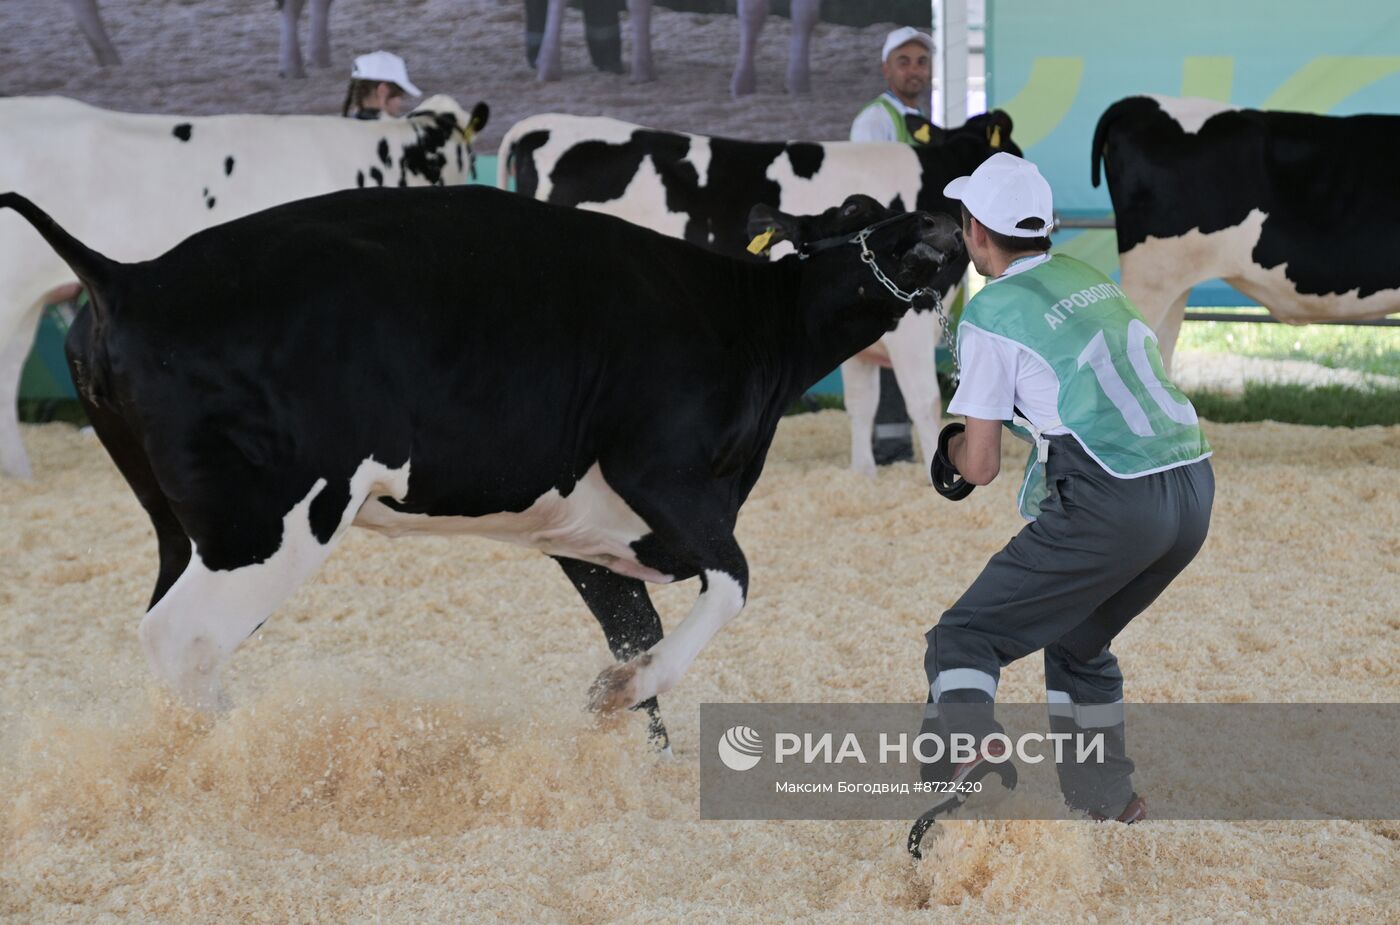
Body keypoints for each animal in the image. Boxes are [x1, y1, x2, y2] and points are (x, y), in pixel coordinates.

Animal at [0, 183, 963, 744]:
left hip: (184, 524)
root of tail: (133, 276)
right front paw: (622, 691)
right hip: (271, 522)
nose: (942, 219)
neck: (748, 324)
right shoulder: (666, 480)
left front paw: (627, 734)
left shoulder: (596, 541)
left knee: (169, 630)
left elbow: (636, 635)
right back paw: (238, 757)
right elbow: (731, 584)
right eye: (857, 218)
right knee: (185, 639)